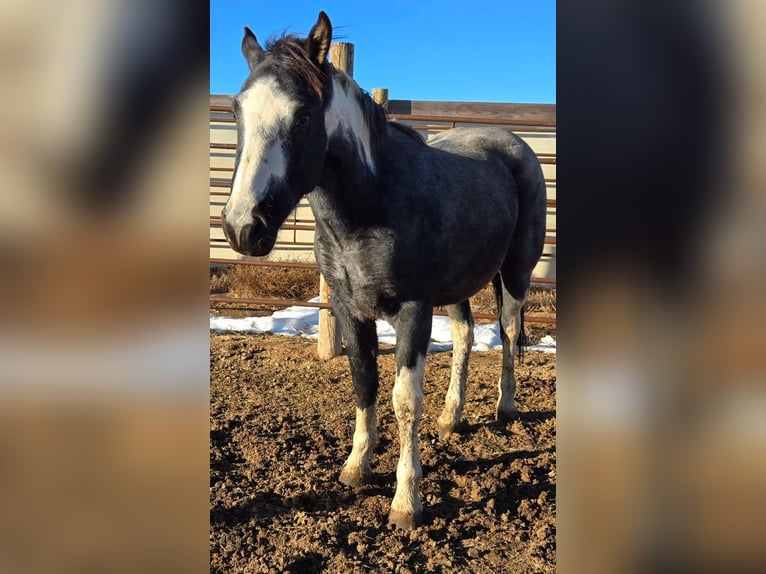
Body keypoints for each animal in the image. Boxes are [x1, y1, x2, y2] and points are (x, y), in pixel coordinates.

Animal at [219, 11, 548, 532]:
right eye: (236, 112)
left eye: (303, 116)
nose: (241, 226)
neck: (373, 204)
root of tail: (516, 147)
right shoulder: (351, 309)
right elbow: (364, 382)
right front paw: (356, 468)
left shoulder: (413, 311)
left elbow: (404, 400)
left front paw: (406, 502)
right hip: (457, 287)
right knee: (465, 336)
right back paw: (452, 417)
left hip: (516, 272)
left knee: (511, 333)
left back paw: (505, 407)